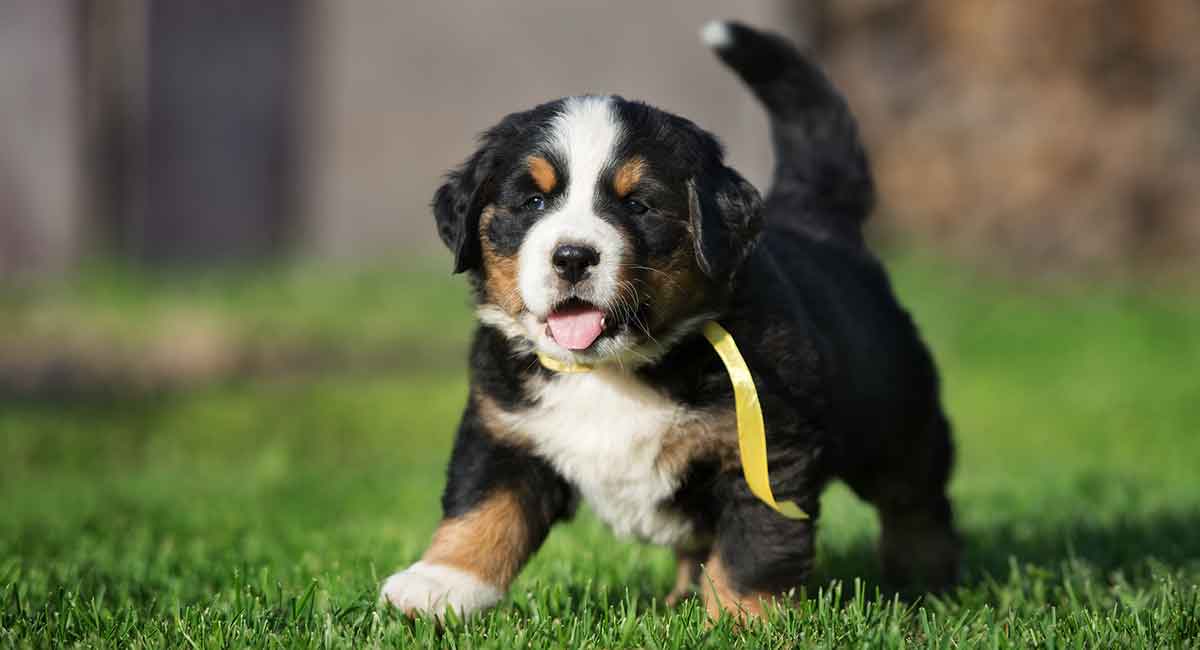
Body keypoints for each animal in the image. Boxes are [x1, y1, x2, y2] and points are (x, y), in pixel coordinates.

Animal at [379, 19, 960, 623]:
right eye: (534, 202)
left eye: (637, 205)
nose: (572, 257)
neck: (613, 370)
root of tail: (817, 221)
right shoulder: (504, 428)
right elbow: (481, 506)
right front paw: (440, 583)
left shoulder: (769, 446)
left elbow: (756, 545)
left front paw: (742, 621)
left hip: (895, 417)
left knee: (916, 497)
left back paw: (928, 580)